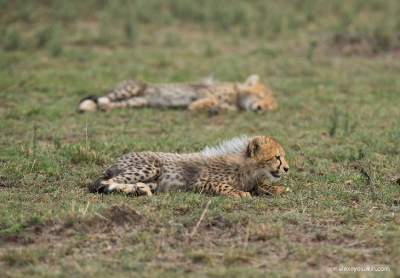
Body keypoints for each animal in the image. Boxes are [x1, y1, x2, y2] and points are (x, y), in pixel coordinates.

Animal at [89, 135, 290, 198]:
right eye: (277, 157)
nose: (287, 168)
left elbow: (261, 186)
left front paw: (278, 189)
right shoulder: (199, 182)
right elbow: (223, 186)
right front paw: (239, 193)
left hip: (155, 180)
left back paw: (141, 189)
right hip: (152, 166)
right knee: (103, 184)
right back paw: (137, 189)